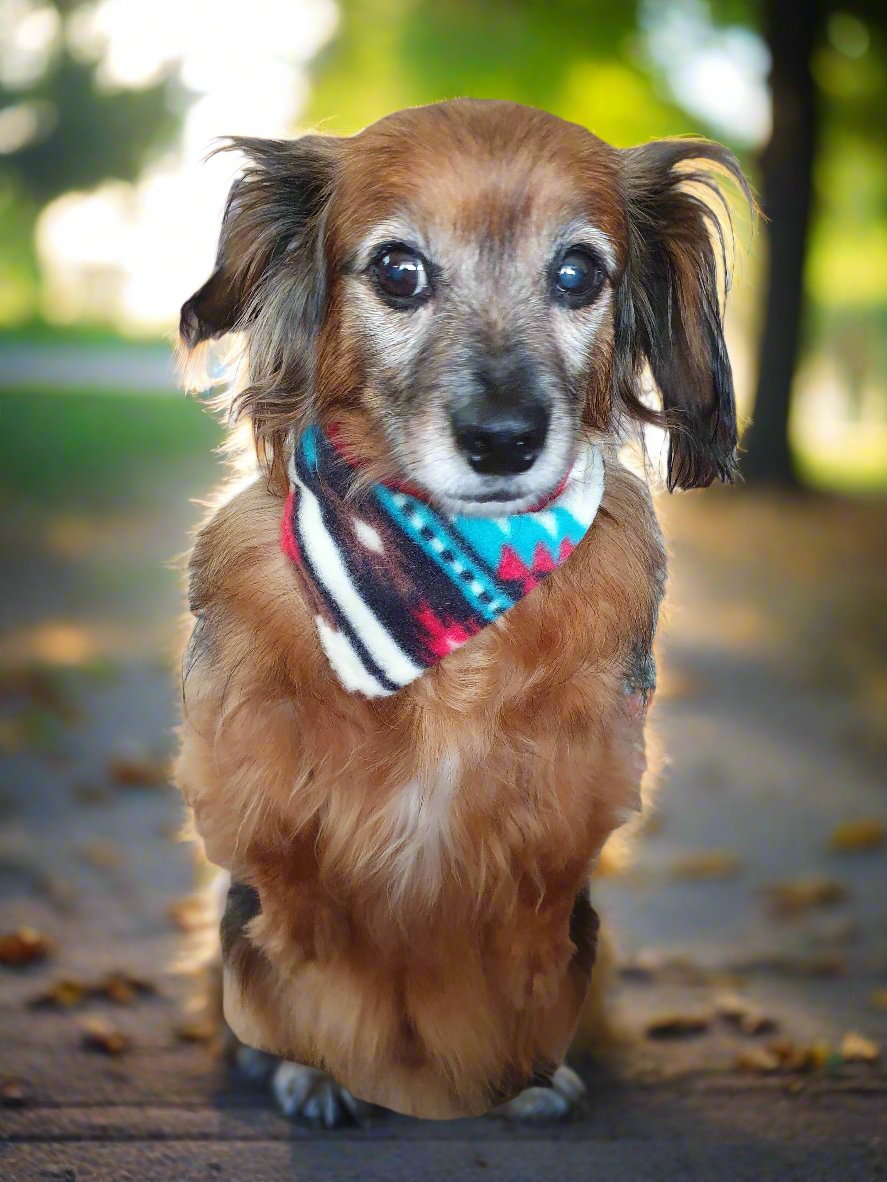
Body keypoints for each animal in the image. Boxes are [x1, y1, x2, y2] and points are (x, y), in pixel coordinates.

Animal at [175, 96, 752, 1120]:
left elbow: (527, 949)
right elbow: (302, 943)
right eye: (398, 270)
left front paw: (524, 1073)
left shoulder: (556, 825)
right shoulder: (275, 814)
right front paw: (312, 1067)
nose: (504, 440)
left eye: (578, 273)